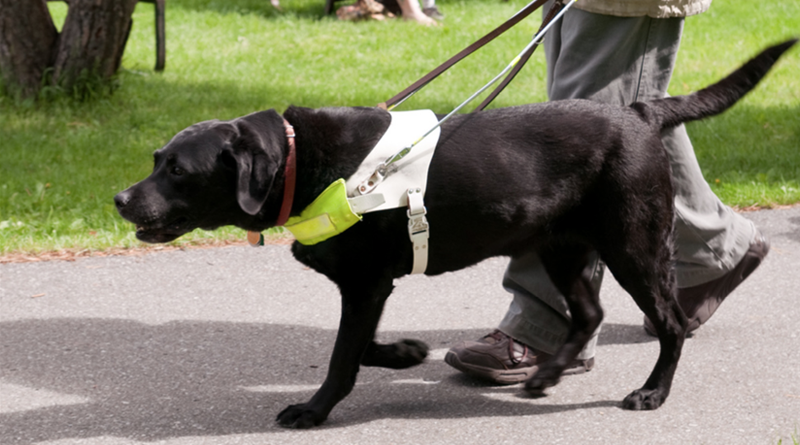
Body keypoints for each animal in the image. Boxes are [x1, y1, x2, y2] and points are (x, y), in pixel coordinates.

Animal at [112, 40, 792, 426]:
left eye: (178, 170)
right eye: (154, 159)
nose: (119, 199)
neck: (303, 164)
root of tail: (640, 111)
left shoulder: (365, 283)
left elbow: (343, 354)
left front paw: (313, 409)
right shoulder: (371, 286)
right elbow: (362, 345)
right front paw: (408, 353)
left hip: (632, 245)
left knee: (669, 322)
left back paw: (652, 393)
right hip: (561, 246)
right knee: (589, 313)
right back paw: (543, 376)